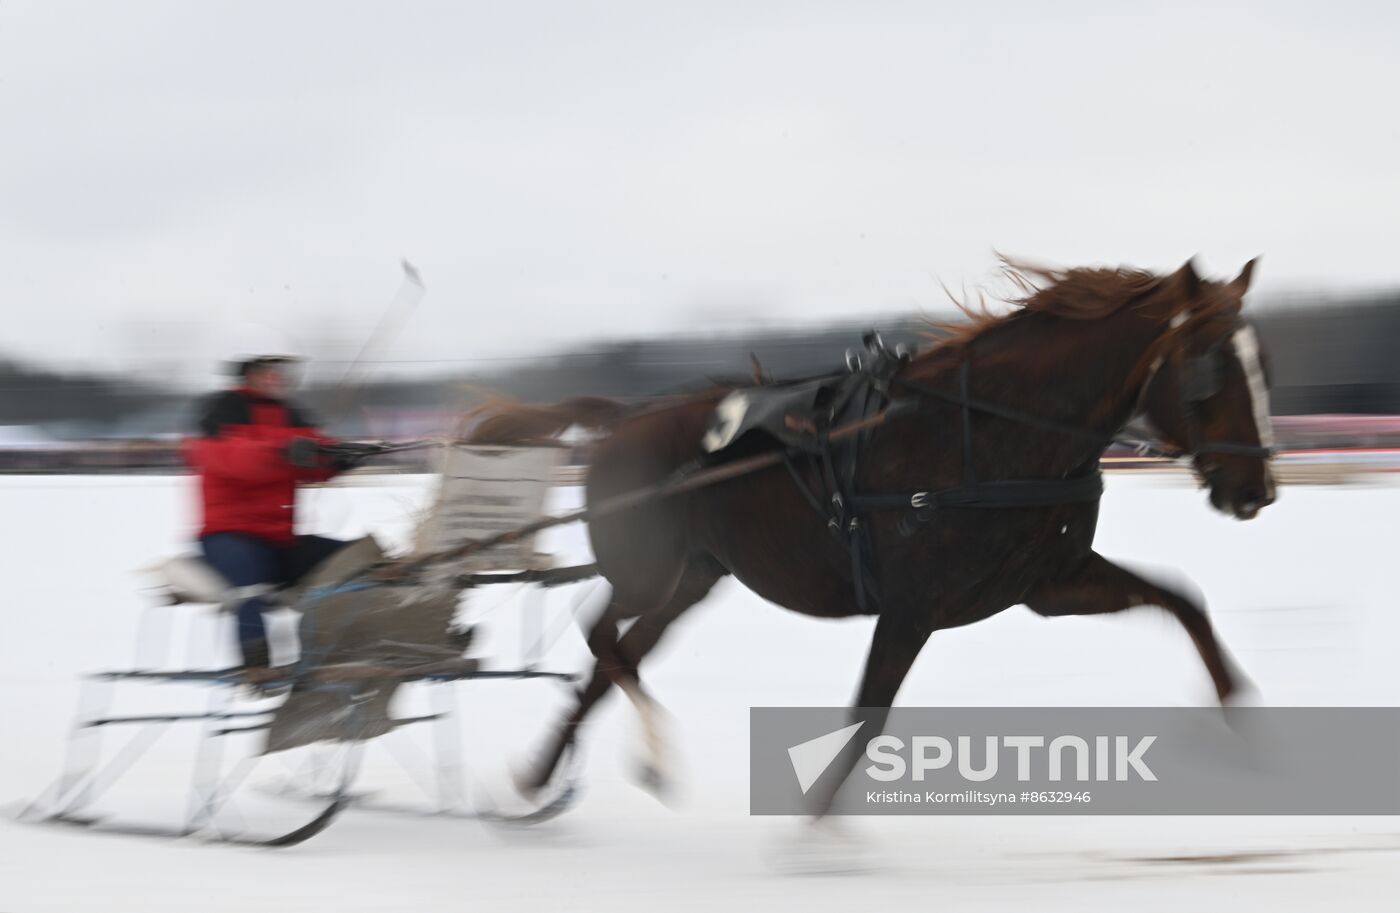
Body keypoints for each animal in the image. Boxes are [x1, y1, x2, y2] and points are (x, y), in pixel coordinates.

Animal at [470, 258, 1276, 815]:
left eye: (1261, 363)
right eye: (1211, 368)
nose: (1257, 489)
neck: (985, 435)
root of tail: (623, 418)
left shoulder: (1047, 581)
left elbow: (1182, 601)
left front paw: (1240, 711)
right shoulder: (913, 605)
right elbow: (868, 713)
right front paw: (816, 821)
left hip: (692, 577)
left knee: (615, 659)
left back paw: (542, 775)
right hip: (648, 570)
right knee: (601, 639)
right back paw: (646, 754)